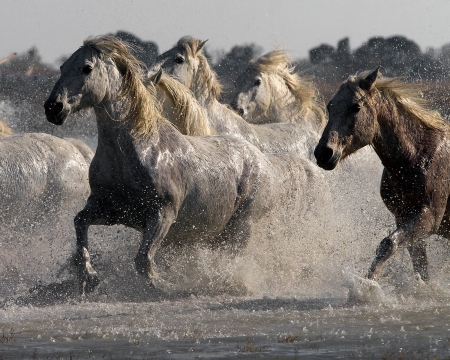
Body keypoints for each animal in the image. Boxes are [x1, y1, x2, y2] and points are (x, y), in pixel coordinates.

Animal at [312, 67, 450, 284]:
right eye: (330, 106)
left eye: (356, 107)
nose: (324, 153)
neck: (418, 155)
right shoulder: (403, 217)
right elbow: (419, 264)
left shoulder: (430, 216)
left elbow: (388, 243)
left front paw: (368, 282)